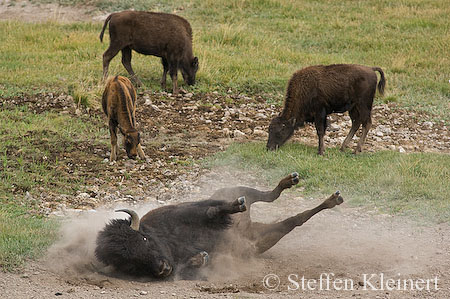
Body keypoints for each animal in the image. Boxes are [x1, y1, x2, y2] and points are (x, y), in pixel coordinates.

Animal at [93, 173, 342, 282]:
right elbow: (189, 266)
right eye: (130, 264)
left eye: (143, 239)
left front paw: (236, 205)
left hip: (238, 190)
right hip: (261, 241)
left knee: (268, 196)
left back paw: (291, 181)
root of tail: (249, 229)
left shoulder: (184, 212)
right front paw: (199, 258)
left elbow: (212, 212)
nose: (161, 268)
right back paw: (331, 200)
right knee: (293, 220)